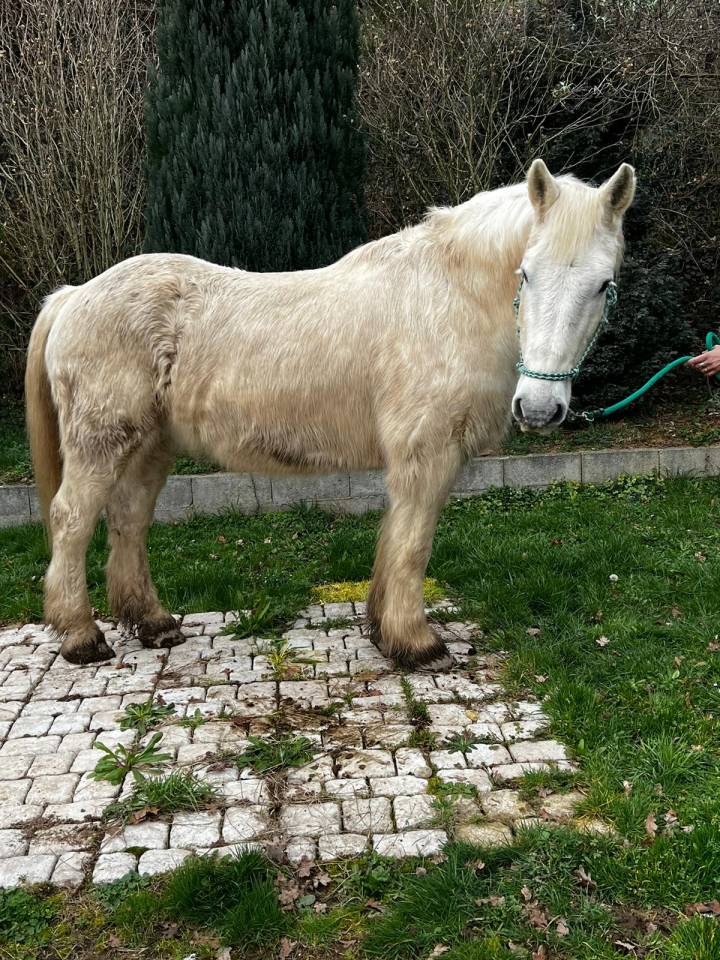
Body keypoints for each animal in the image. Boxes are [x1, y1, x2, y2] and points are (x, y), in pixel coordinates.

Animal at [25, 159, 635, 667]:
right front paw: (418, 643)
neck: (449, 295)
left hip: (150, 443)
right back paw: (81, 636)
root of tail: (74, 295)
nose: (540, 407)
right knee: (73, 521)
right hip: (102, 443)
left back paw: (153, 624)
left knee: (129, 520)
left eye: (604, 284)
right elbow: (414, 544)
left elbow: (395, 539)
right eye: (526, 273)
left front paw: (385, 633)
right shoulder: (427, 453)